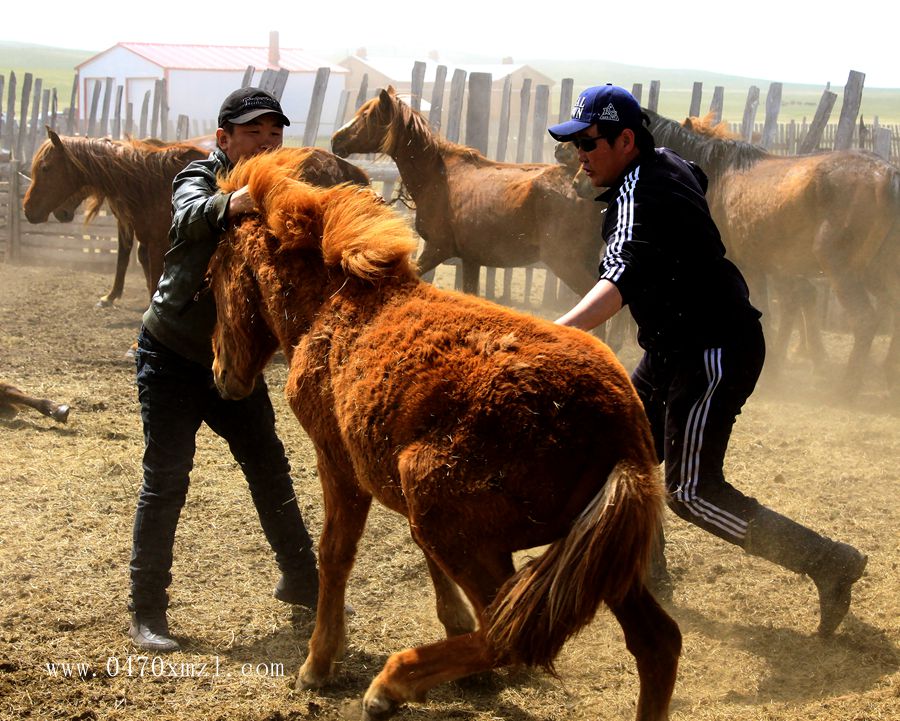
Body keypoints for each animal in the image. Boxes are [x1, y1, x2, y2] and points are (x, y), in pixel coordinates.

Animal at [206, 150, 684, 720]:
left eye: (212, 277)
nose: (219, 375)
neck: (335, 307)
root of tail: (621, 430)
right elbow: (424, 563)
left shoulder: (339, 463)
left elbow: (335, 554)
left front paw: (319, 664)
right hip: (596, 556)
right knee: (657, 643)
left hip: (457, 521)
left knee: (506, 636)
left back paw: (391, 685)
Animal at [330, 86, 604, 300]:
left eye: (367, 115)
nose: (335, 139)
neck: (437, 176)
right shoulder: (471, 259)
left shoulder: (437, 249)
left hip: (566, 263)